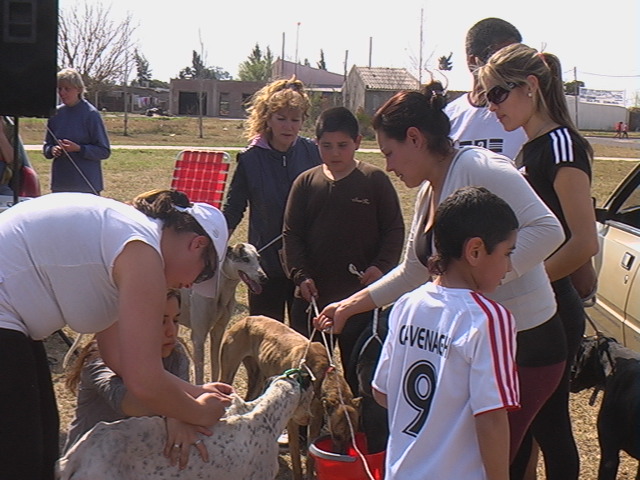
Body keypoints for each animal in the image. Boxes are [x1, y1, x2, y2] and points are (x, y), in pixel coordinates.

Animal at [181, 242, 266, 384]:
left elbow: (215, 366)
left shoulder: (218, 332)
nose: (263, 277)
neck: (219, 289)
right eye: (245, 259)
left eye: (259, 258)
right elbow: (199, 374)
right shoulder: (198, 337)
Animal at [219, 316, 360, 478]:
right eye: (336, 435)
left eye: (352, 437)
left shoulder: (315, 421)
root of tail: (247, 318)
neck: (321, 374)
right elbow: (296, 458)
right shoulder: (292, 422)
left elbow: (310, 457)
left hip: (257, 379)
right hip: (227, 375)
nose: (342, 456)